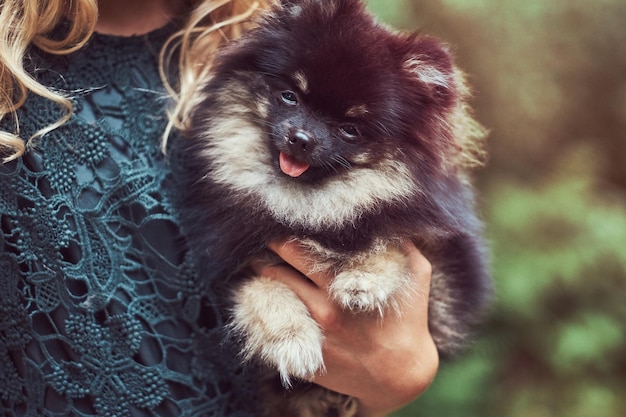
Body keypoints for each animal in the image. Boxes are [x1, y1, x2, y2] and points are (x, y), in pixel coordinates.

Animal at [173, 0, 490, 412]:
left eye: (350, 129)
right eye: (290, 96)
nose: (301, 138)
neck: (310, 208)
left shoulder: (444, 280)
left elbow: (389, 240)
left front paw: (363, 276)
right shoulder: (235, 267)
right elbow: (261, 288)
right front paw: (291, 338)